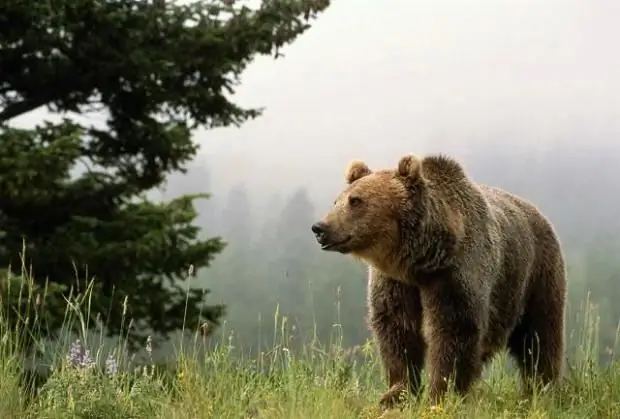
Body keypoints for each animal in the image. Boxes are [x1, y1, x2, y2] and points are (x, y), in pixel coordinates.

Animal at [310, 153, 568, 410]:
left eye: (356, 201)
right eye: (337, 201)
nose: (320, 228)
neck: (421, 262)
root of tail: (538, 212)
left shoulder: (454, 276)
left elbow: (453, 331)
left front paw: (442, 394)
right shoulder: (396, 283)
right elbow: (397, 330)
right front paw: (396, 393)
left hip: (535, 276)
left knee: (540, 336)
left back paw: (542, 388)